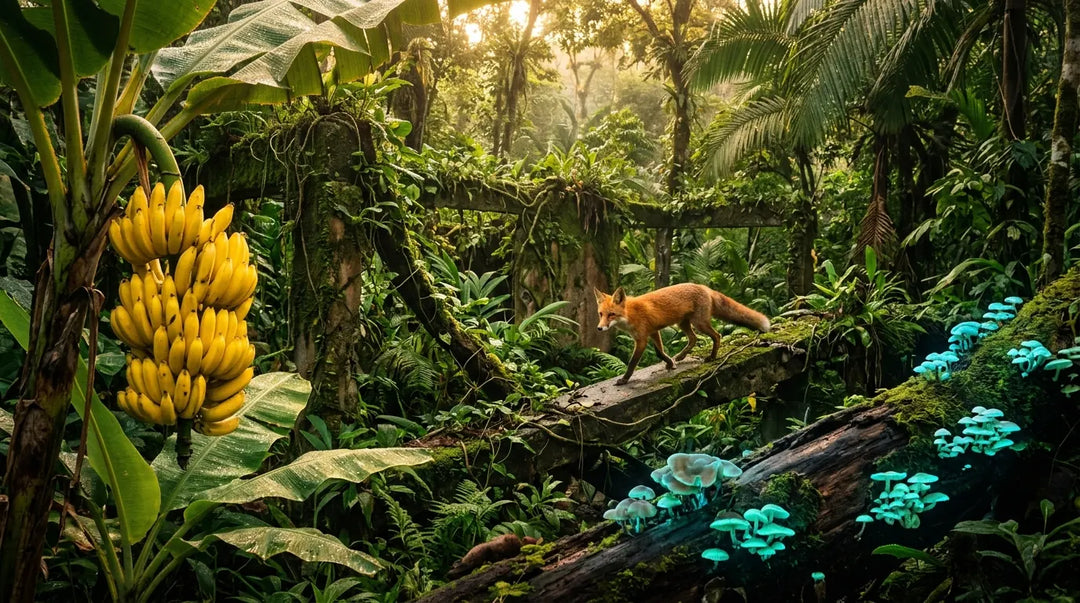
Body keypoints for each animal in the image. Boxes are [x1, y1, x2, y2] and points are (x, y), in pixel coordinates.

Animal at [594, 283, 771, 385]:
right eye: (601, 314)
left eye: (611, 315)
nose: (599, 328)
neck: (630, 314)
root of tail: (704, 286)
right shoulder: (653, 332)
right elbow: (660, 352)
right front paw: (670, 363)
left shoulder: (642, 339)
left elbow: (632, 363)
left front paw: (624, 379)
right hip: (683, 323)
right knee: (693, 339)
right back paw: (681, 356)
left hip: (699, 323)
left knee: (716, 335)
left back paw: (712, 357)